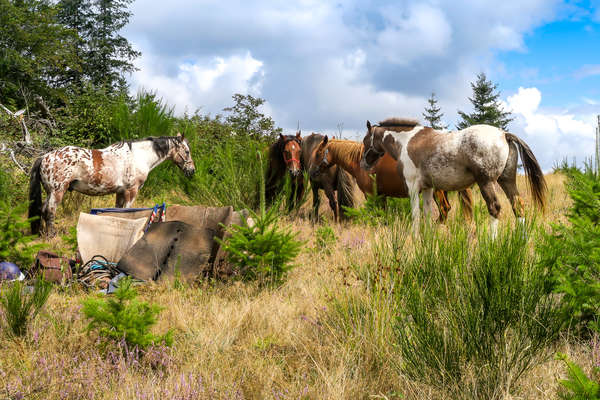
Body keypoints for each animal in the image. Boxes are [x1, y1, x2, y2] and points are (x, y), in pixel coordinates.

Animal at [29, 133, 196, 236]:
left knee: (42, 210)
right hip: (57, 191)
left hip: (50, 192)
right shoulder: (131, 191)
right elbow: (128, 212)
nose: (192, 170)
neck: (138, 157)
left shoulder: (120, 192)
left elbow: (118, 212)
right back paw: (51, 235)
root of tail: (45, 156)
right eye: (187, 151)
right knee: (50, 211)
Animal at [310, 134, 474, 222]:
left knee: (444, 209)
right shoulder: (381, 196)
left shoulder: (371, 195)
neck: (360, 160)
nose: (311, 172)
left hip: (437, 191)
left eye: (318, 153)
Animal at [358, 119, 548, 238]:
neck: (407, 142)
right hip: (506, 181)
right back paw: (521, 241)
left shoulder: (412, 187)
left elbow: (416, 215)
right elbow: (427, 214)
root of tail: (504, 134)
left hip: (486, 183)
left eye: (366, 140)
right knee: (518, 206)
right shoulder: (428, 188)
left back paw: (491, 242)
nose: (363, 164)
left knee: (495, 208)